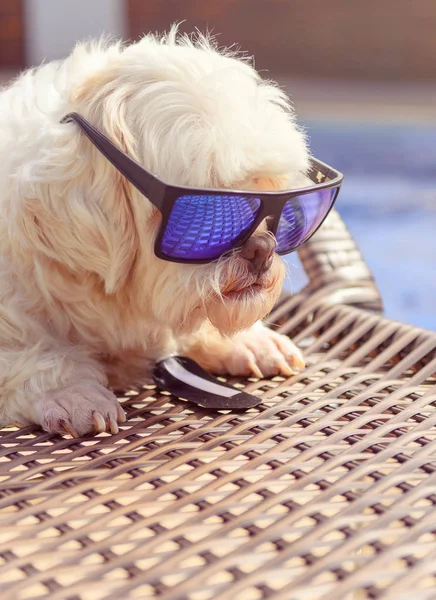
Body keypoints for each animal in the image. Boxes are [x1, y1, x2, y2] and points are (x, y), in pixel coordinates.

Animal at [0, 28, 308, 436]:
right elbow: (28, 353)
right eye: (203, 210)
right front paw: (71, 391)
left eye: (266, 191)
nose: (261, 247)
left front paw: (250, 340)